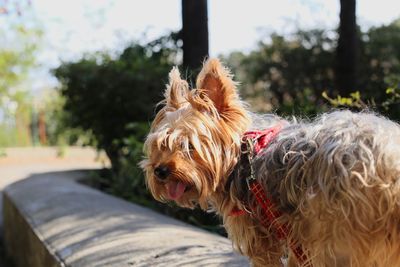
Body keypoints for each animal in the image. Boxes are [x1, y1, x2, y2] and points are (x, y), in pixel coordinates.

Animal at [140, 59, 400, 267]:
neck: (240, 155)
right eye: (161, 145)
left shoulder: (263, 241)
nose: (160, 171)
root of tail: (389, 160)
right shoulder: (296, 239)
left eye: (189, 147)